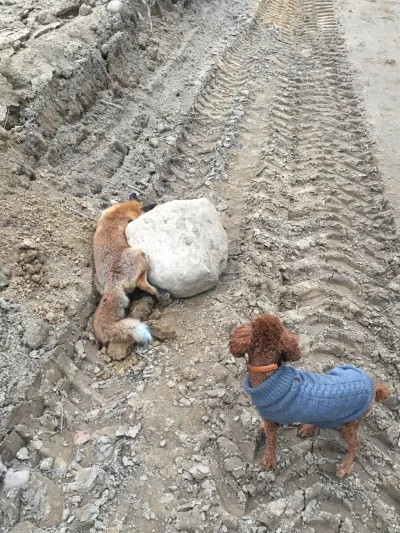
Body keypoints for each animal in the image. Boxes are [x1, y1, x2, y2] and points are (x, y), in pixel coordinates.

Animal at [93, 195, 169, 344]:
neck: (118, 213)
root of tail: (112, 285)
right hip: (141, 255)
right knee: (142, 284)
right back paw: (161, 293)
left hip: (98, 282)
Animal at [230, 316, 390, 478]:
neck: (268, 372)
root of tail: (374, 385)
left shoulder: (272, 421)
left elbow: (271, 441)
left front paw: (269, 461)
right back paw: (307, 428)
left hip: (350, 422)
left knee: (356, 444)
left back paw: (345, 467)